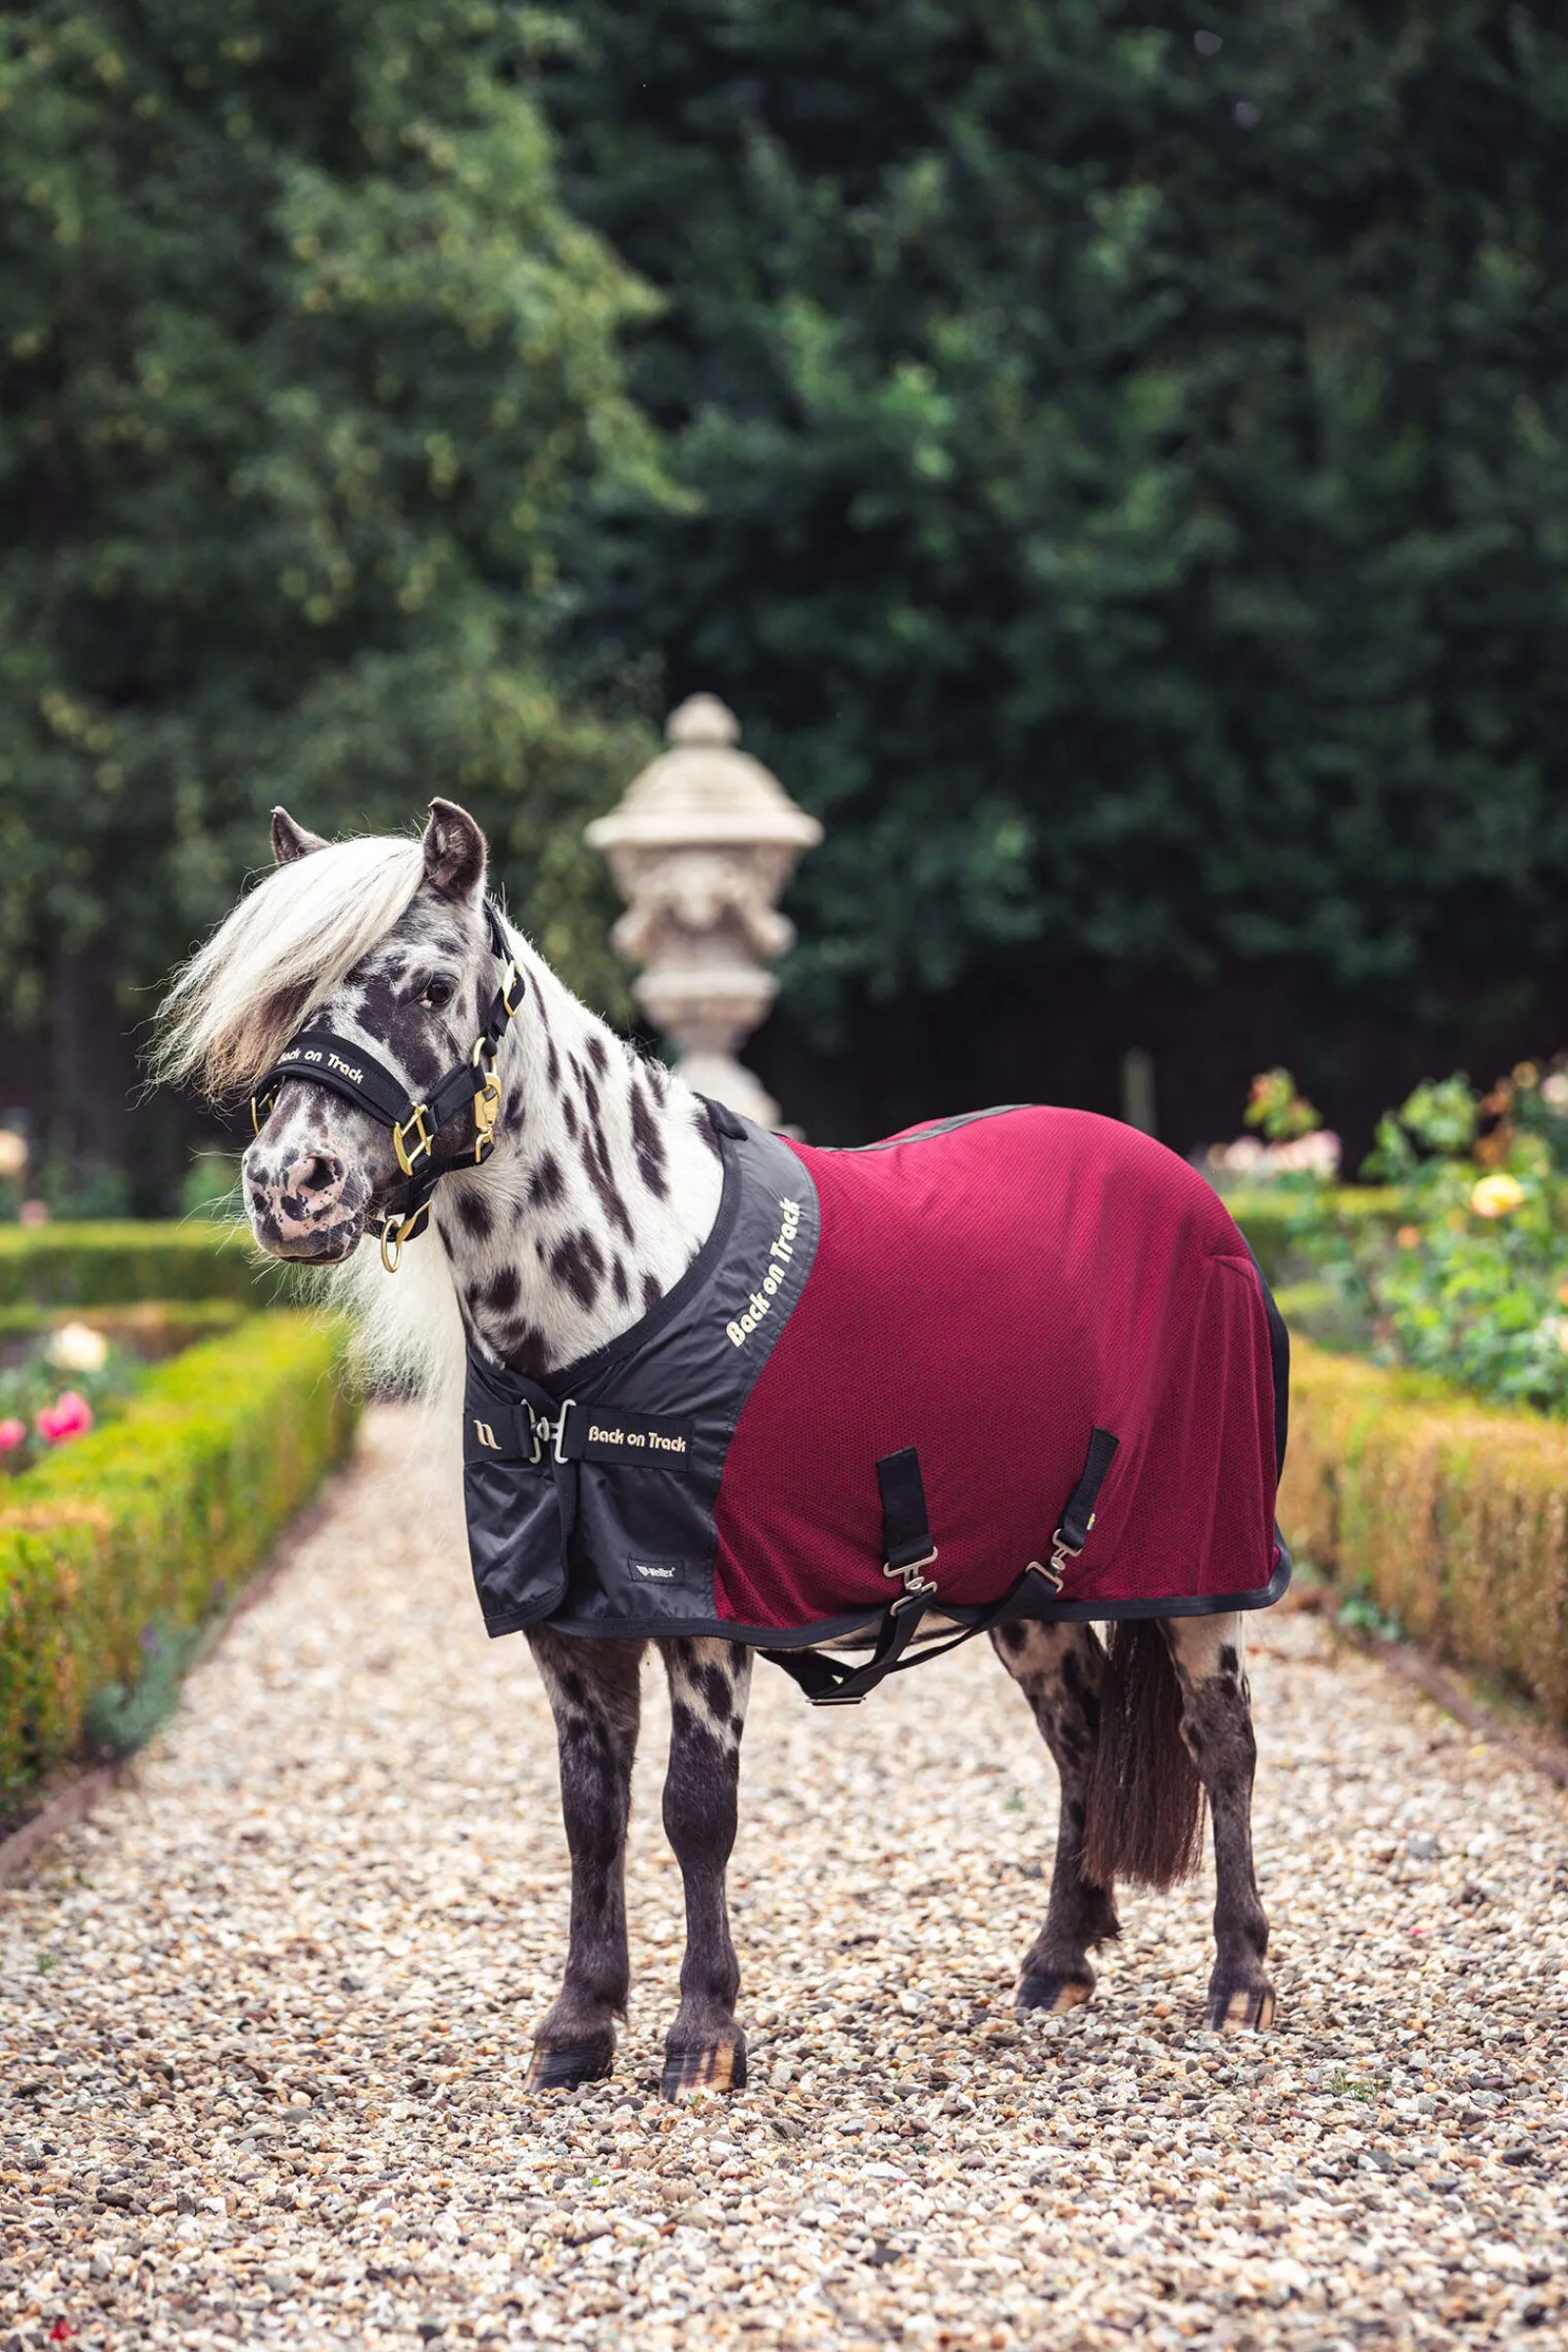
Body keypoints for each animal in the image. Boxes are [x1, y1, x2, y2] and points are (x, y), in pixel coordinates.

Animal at [157, 797, 1283, 2098]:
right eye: (284, 996)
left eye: (433, 986)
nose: (290, 1186)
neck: (614, 1302)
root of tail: (1186, 1190)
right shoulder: (570, 1626)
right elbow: (589, 1814)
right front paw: (579, 2026)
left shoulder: (703, 1618)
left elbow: (695, 1813)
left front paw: (702, 2036)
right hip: (1024, 1586)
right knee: (1083, 1731)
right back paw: (1057, 1959)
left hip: (1200, 1568)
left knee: (1221, 1741)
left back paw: (1239, 1980)